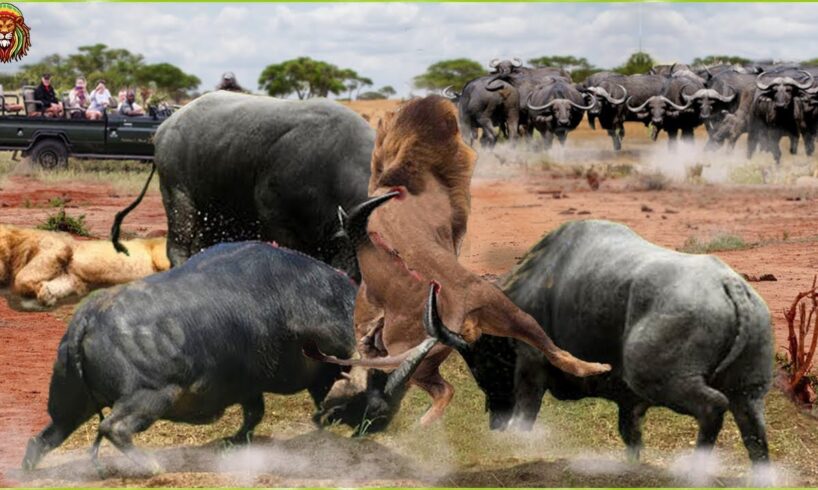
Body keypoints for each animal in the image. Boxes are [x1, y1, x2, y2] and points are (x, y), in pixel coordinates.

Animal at [0, 225, 168, 306]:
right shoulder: (71, 277)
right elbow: (62, 284)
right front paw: (47, 295)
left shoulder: (58, 247)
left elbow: (21, 277)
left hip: (160, 254)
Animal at [460, 221, 772, 464]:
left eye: (482, 360)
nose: (495, 421)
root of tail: (730, 285)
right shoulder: (629, 403)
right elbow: (631, 436)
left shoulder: (531, 363)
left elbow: (526, 416)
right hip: (748, 392)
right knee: (755, 436)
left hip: (661, 380)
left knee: (713, 407)